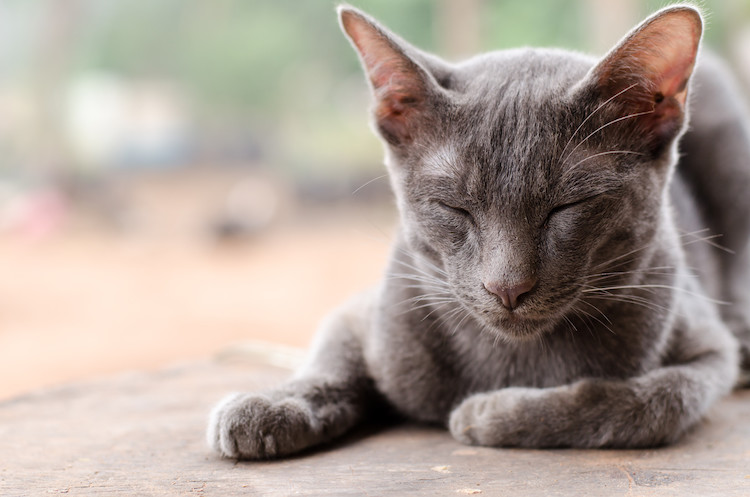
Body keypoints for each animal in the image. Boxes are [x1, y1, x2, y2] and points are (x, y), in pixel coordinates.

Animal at [207, 2, 750, 458]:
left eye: (568, 206)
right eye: (454, 207)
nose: (507, 287)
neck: (514, 356)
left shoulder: (704, 351)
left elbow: (649, 401)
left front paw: (489, 413)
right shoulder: (366, 310)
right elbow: (330, 357)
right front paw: (271, 405)